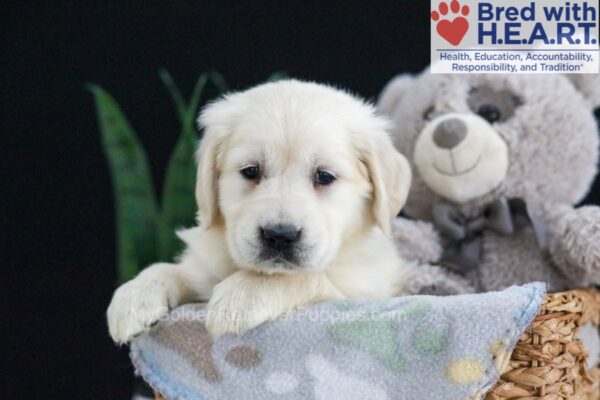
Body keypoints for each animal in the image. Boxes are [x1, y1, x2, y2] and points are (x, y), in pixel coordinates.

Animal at [106, 79, 412, 342]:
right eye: (251, 171)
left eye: (324, 176)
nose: (280, 236)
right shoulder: (204, 270)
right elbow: (174, 270)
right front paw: (135, 295)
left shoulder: (363, 290)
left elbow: (305, 277)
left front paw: (243, 294)